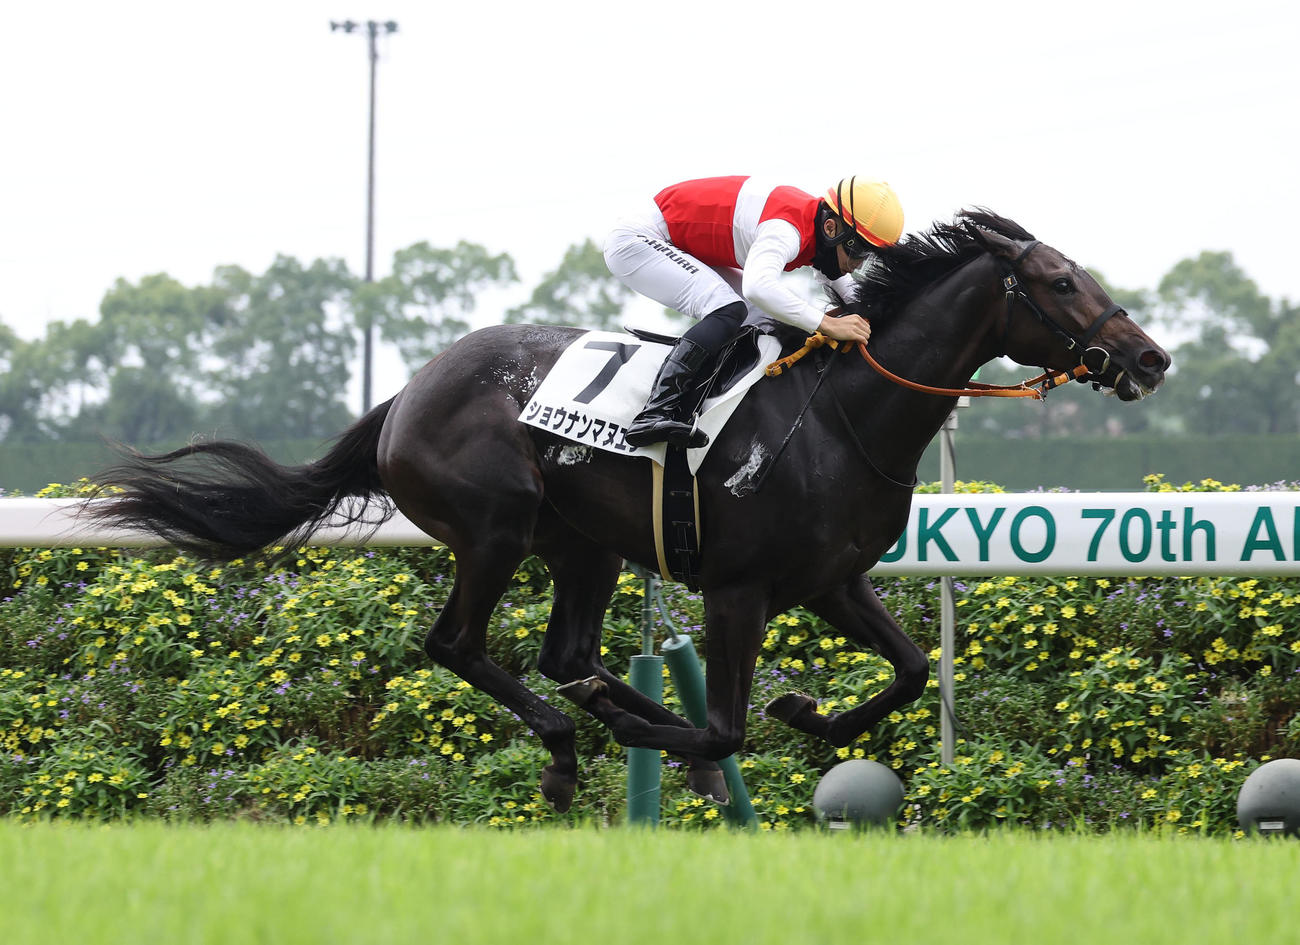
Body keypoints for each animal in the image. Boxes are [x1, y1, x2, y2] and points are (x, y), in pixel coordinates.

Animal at [84, 210, 1171, 813]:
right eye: (1059, 281)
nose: (1151, 356)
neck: (842, 416)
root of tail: (408, 392)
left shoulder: (831, 579)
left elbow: (908, 670)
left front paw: (806, 710)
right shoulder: (739, 589)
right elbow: (725, 732)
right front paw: (706, 739)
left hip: (583, 547)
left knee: (566, 653)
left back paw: (610, 708)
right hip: (495, 526)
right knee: (460, 644)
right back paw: (573, 743)